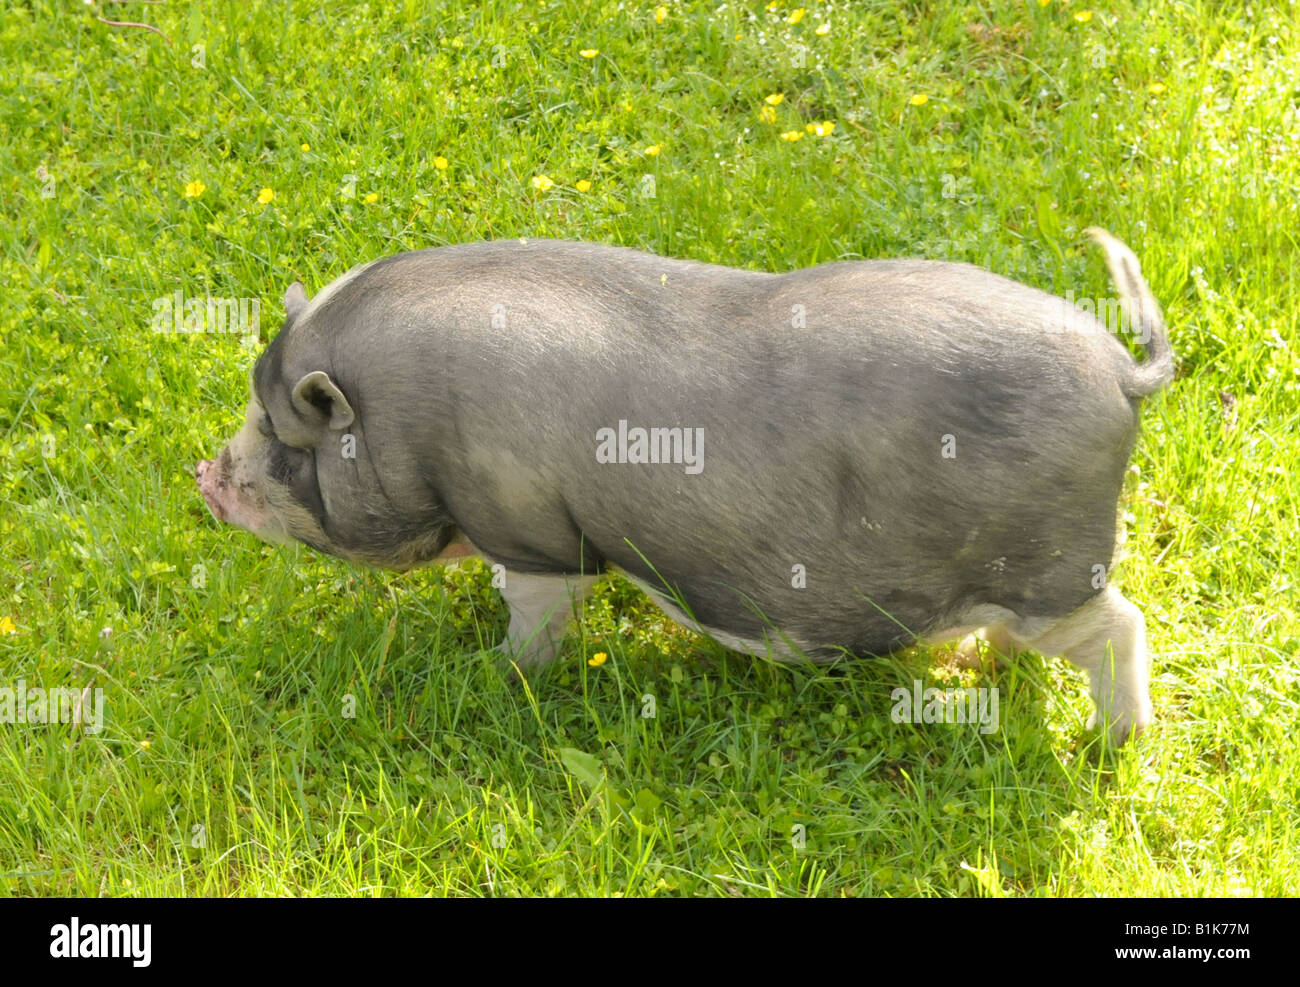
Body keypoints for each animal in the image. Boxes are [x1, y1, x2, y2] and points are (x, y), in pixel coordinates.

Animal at [195, 230, 1180, 738]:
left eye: (280, 433)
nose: (205, 476)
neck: (406, 421)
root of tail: (1122, 372)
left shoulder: (537, 530)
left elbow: (537, 615)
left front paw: (497, 671)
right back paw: (987, 668)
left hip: (1054, 567)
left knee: (1121, 625)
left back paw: (1115, 742)